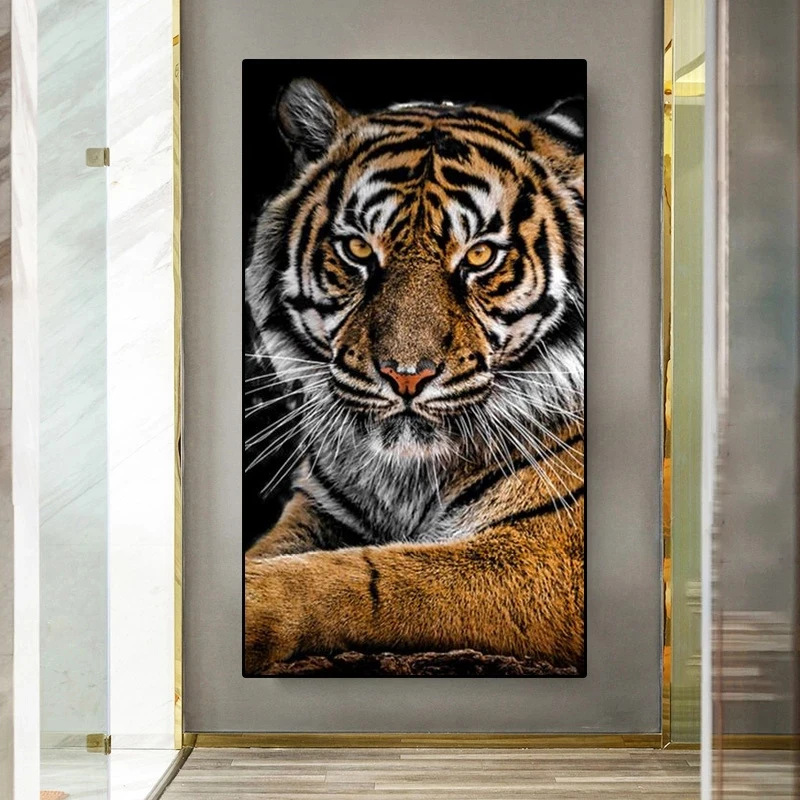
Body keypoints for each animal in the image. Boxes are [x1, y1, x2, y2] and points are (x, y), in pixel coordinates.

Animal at [244, 78, 585, 676]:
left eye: (480, 255)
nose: (405, 376)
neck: (406, 479)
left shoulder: (550, 553)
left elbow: (361, 579)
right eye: (358, 249)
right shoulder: (319, 509)